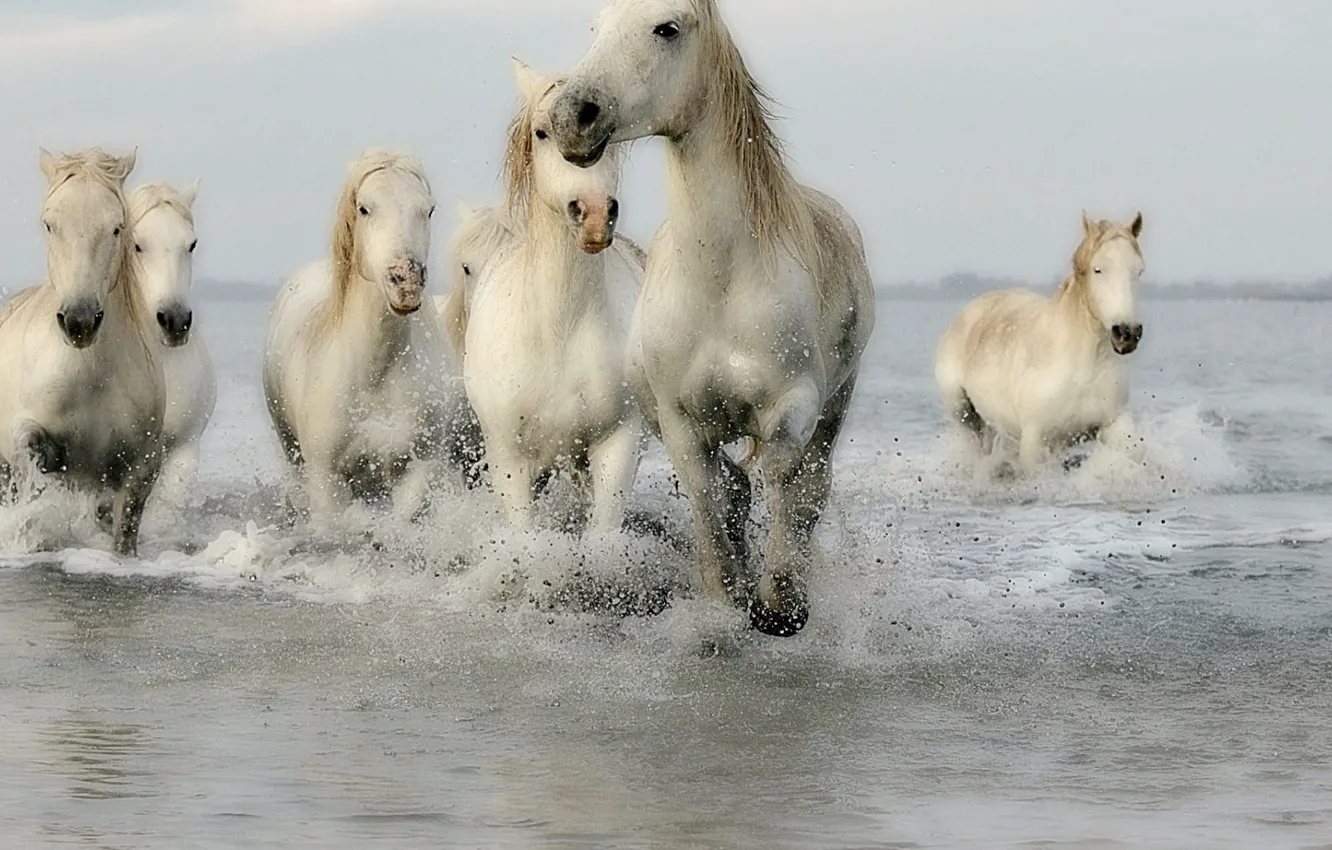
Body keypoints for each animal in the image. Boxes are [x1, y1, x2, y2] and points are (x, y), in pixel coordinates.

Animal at [0, 148, 166, 556]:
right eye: (49, 225)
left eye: (116, 228)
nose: (79, 321)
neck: (90, 376)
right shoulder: (25, 438)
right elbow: (32, 467)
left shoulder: (140, 467)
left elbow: (124, 532)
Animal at [262, 149, 464, 523]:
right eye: (364, 208)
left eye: (428, 209)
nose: (405, 282)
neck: (376, 372)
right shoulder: (327, 482)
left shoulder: (416, 471)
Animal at [463, 58, 646, 532]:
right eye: (543, 132)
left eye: (610, 134)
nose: (596, 215)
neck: (560, 328)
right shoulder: (510, 460)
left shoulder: (617, 446)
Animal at [547, 0, 877, 636]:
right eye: (597, 28)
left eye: (667, 28)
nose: (571, 116)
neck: (720, 283)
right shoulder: (680, 422)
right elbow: (710, 495)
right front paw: (731, 596)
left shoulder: (795, 402)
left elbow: (781, 476)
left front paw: (781, 603)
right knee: (734, 485)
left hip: (834, 407)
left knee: (808, 485)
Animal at [935, 213, 1146, 474]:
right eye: (1098, 270)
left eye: (1138, 271)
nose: (1127, 333)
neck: (1085, 367)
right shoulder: (1036, 440)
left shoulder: (1114, 422)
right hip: (964, 414)